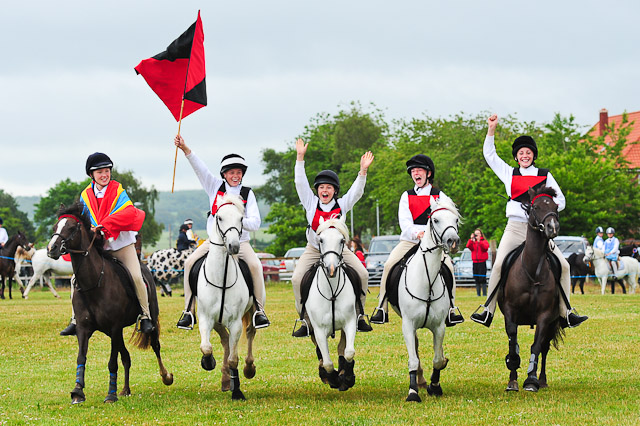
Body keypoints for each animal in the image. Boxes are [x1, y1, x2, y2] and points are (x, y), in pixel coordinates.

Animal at [47, 203, 172, 402]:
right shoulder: (84, 329)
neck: (94, 283)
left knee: (155, 346)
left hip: (145, 321)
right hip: (115, 333)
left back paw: (165, 376)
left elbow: (112, 362)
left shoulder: (114, 327)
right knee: (126, 357)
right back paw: (125, 389)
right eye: (55, 227)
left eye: (72, 227)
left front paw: (110, 395)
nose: (52, 248)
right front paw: (78, 391)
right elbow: (81, 357)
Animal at [196, 195, 256, 402]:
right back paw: (224, 379)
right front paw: (208, 362)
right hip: (217, 321)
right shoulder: (206, 318)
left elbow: (233, 359)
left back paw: (248, 369)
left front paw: (237, 391)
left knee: (250, 333)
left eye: (241, 218)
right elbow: (206, 347)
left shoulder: (236, 322)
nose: (234, 246)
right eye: (219, 217)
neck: (221, 279)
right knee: (224, 340)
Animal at [306, 216, 360, 392]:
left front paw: (347, 377)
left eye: (342, 240)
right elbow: (328, 362)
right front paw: (333, 379)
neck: (332, 292)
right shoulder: (319, 330)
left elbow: (349, 352)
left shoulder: (350, 323)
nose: (331, 269)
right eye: (321, 240)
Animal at [390, 196, 460, 402]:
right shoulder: (408, 324)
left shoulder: (439, 326)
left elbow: (437, 359)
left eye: (456, 220)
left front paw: (435, 385)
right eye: (435, 220)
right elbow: (413, 359)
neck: (426, 280)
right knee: (415, 347)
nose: (453, 241)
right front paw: (413, 391)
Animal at [498, 186, 564, 392]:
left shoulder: (545, 316)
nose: (553, 227)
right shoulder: (510, 312)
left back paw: (541, 380)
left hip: (552, 322)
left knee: (544, 348)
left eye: (555, 206)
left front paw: (531, 380)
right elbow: (513, 343)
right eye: (535, 206)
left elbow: (536, 346)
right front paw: (512, 378)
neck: (532, 271)